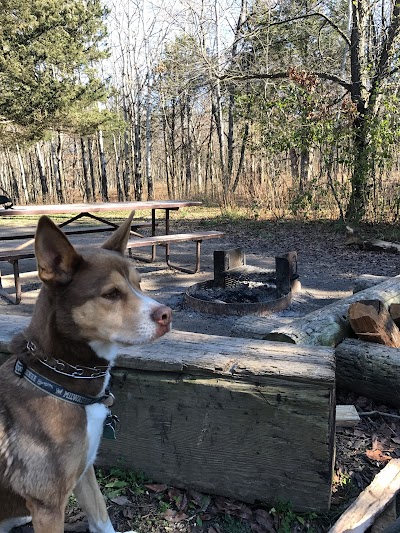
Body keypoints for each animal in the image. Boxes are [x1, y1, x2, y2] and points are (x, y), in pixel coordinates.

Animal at [0, 212, 170, 532]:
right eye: (111, 294)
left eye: (139, 284)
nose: (167, 314)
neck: (60, 379)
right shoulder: (47, 505)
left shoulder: (85, 471)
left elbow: (103, 519)